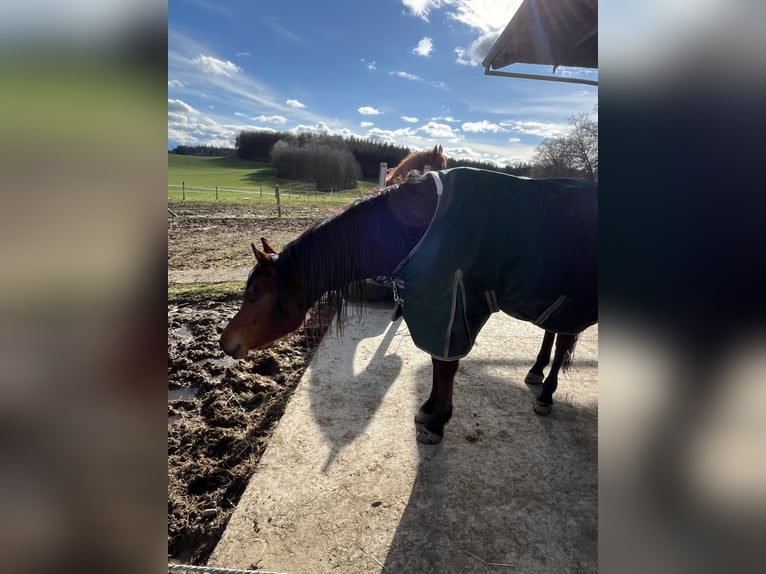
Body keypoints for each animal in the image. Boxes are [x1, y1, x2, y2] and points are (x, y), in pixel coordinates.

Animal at [219, 166, 596, 446]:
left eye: (253, 294)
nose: (224, 342)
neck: (421, 225)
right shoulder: (434, 307)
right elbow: (435, 364)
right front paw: (428, 409)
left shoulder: (452, 306)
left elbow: (446, 366)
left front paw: (438, 422)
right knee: (553, 332)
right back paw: (536, 371)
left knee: (564, 341)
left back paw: (546, 394)